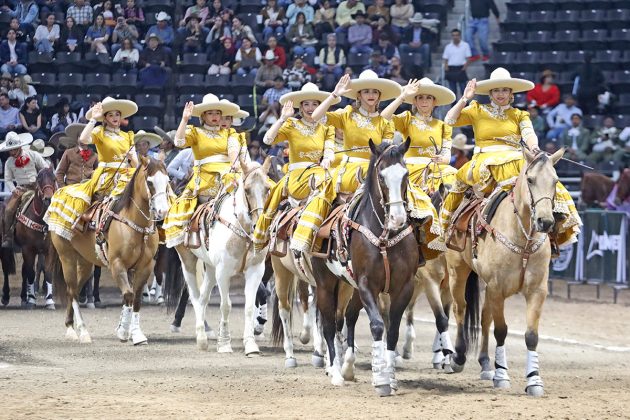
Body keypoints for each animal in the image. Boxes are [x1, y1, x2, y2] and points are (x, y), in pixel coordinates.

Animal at [2, 167, 56, 308]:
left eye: (54, 179)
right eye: (39, 179)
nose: (48, 199)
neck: (41, 220)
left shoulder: (49, 250)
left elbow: (48, 272)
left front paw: (49, 300)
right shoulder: (28, 249)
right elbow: (31, 273)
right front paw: (31, 299)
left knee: (23, 271)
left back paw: (23, 297)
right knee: (6, 269)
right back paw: (5, 297)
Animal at [50, 158, 170, 344]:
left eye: (167, 181)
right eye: (150, 182)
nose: (163, 212)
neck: (136, 226)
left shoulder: (146, 266)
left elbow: (136, 299)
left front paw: (136, 333)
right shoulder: (117, 264)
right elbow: (128, 295)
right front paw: (123, 331)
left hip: (85, 263)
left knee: (74, 289)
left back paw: (70, 327)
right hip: (66, 257)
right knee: (72, 291)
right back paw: (81, 331)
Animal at [168, 160, 274, 354]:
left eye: (268, 188)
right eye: (247, 189)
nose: (259, 226)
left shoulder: (255, 271)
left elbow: (249, 306)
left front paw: (250, 344)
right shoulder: (223, 272)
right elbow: (226, 306)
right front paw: (224, 343)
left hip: (210, 268)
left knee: (203, 297)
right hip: (188, 262)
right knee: (195, 297)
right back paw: (201, 338)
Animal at [312, 139, 420, 396]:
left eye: (406, 174)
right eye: (381, 176)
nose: (398, 219)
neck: (384, 238)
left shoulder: (404, 287)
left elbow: (393, 329)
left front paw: (390, 377)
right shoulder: (366, 285)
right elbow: (378, 325)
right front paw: (380, 380)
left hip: (348, 288)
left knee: (347, 318)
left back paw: (347, 367)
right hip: (325, 285)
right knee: (329, 325)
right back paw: (335, 372)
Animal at [446, 148, 564, 398]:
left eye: (555, 181)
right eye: (530, 180)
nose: (545, 221)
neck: (523, 240)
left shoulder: (537, 291)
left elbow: (531, 336)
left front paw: (534, 380)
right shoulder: (497, 288)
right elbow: (501, 331)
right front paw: (501, 375)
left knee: (484, 317)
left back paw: (485, 364)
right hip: (457, 272)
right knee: (460, 309)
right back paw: (458, 357)